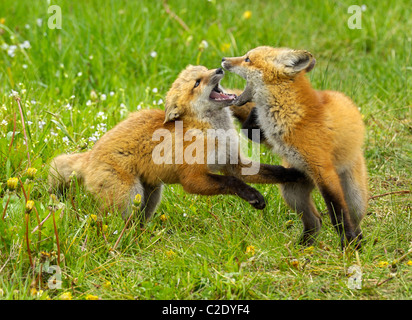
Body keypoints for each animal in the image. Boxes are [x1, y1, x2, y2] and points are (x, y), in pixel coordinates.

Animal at [49, 65, 306, 222]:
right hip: (128, 197)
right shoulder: (191, 178)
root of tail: (90, 154)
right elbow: (231, 182)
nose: (219, 68)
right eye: (197, 83)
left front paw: (298, 175)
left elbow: (274, 172)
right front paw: (252, 195)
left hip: (151, 196)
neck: (214, 132)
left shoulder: (234, 162)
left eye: (206, 71)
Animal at [224, 47, 368, 248]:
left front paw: (347, 245)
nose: (223, 60)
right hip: (291, 191)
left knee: (353, 220)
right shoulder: (269, 136)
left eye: (247, 59)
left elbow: (338, 215)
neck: (289, 112)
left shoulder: (324, 171)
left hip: (354, 197)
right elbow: (249, 130)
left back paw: (357, 243)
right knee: (315, 221)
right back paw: (303, 247)